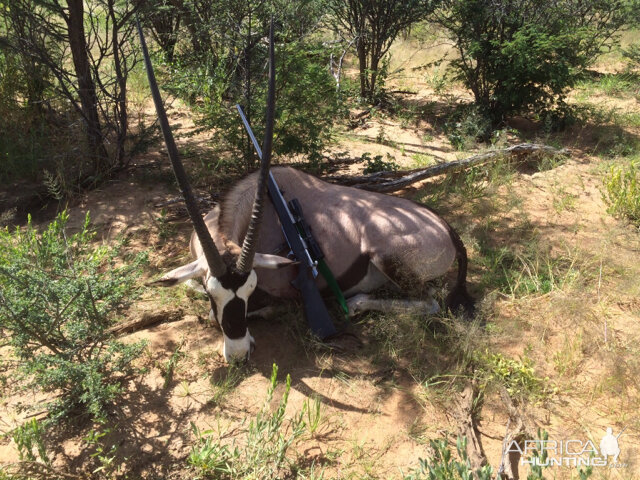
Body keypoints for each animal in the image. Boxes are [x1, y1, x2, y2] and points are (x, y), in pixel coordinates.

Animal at [138, 20, 472, 362]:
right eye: (211, 291)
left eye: (248, 290)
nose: (240, 353)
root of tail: (447, 230)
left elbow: (240, 310)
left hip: (389, 258)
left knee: (431, 301)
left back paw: (356, 303)